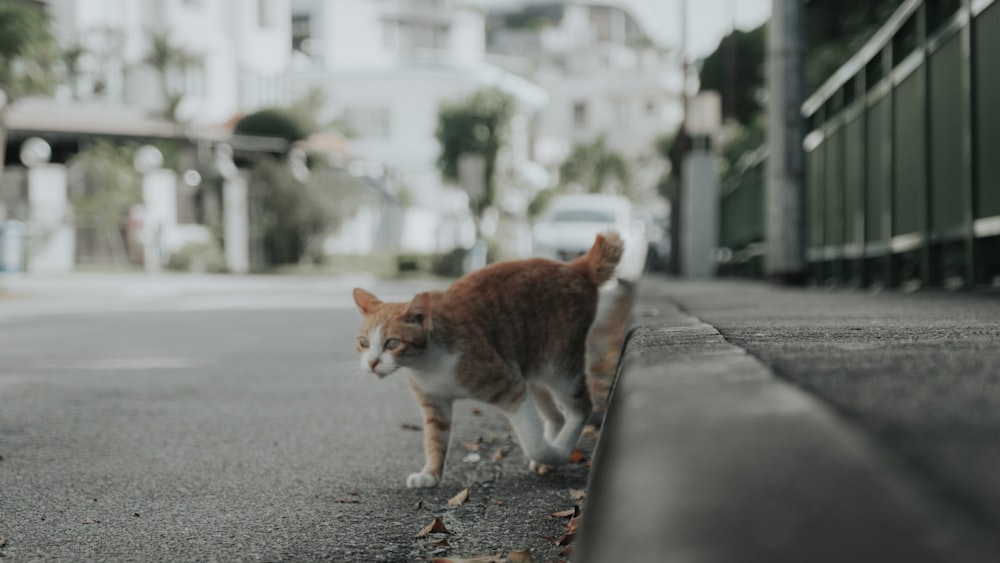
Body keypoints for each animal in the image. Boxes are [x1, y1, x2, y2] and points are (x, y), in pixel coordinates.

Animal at [350, 234, 616, 490]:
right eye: (364, 342)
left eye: (392, 343)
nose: (371, 363)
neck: (427, 364)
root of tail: (576, 266)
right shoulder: (435, 403)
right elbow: (435, 440)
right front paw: (430, 475)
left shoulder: (511, 386)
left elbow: (532, 440)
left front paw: (554, 454)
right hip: (533, 370)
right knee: (557, 416)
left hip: (559, 366)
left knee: (581, 408)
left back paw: (560, 448)